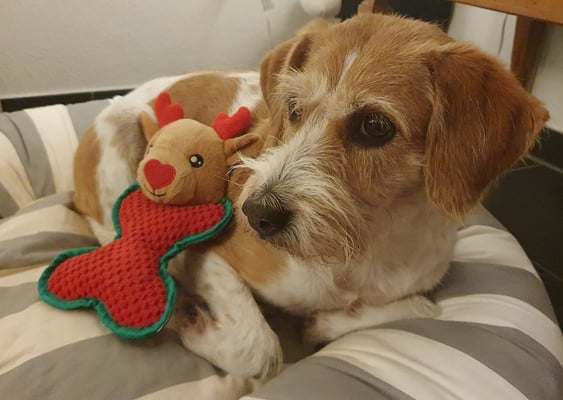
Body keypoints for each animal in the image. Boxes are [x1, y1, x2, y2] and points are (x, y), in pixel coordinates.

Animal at [73, 14, 548, 380]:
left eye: (375, 126)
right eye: (294, 109)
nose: (253, 214)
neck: (361, 247)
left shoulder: (417, 283)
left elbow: (424, 309)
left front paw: (323, 323)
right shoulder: (210, 255)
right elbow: (259, 347)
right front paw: (191, 320)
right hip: (117, 149)